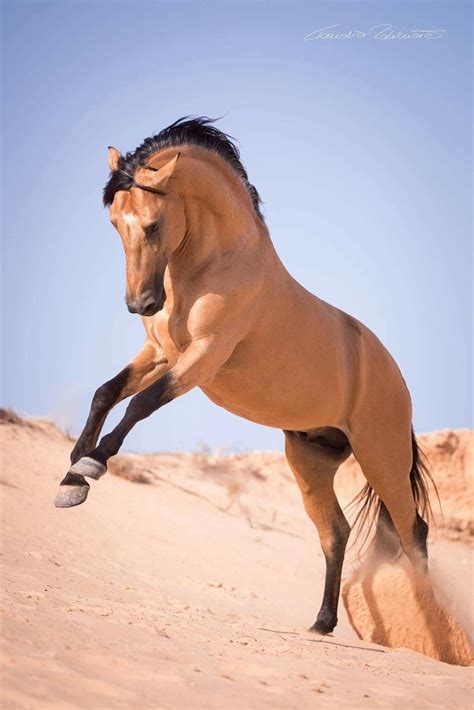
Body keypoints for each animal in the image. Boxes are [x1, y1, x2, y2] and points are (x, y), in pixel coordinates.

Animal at [53, 118, 432, 640]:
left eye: (152, 224)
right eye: (114, 223)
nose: (141, 304)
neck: (215, 265)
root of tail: (398, 381)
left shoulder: (203, 358)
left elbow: (139, 404)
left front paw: (92, 465)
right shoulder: (159, 354)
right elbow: (105, 393)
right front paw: (71, 478)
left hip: (382, 457)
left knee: (414, 532)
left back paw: (430, 631)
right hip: (311, 459)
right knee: (336, 532)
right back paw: (323, 623)